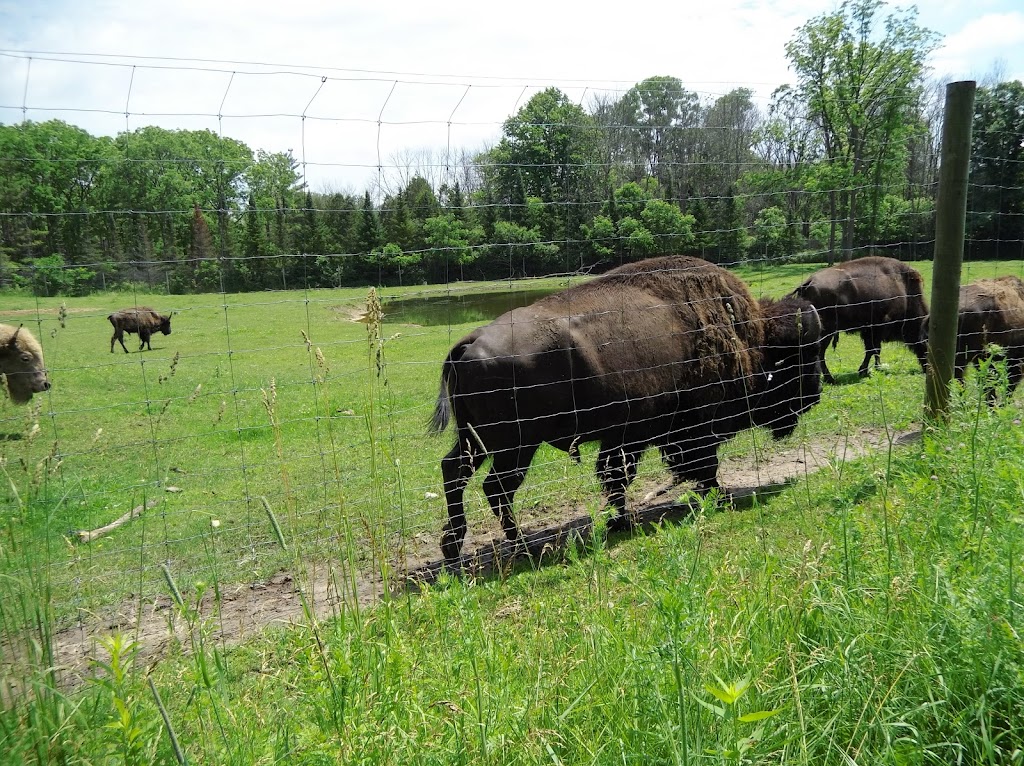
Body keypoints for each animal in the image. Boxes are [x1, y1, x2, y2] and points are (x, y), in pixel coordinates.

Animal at [430, 253, 823, 565]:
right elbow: (694, 463)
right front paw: (709, 495)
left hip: (478, 441)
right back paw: (523, 546)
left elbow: (617, 476)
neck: (743, 334)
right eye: (798, 361)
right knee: (497, 488)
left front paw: (620, 520)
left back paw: (454, 548)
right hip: (516, 445)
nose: (814, 397)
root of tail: (470, 342)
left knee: (455, 473)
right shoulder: (680, 428)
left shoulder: (625, 437)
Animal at [786, 256, 933, 383]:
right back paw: (830, 379)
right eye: (927, 341)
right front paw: (863, 371)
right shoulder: (876, 328)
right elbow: (872, 350)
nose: (927, 369)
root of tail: (808, 283)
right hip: (826, 331)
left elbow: (874, 350)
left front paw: (874, 368)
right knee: (820, 353)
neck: (905, 291)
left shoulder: (869, 331)